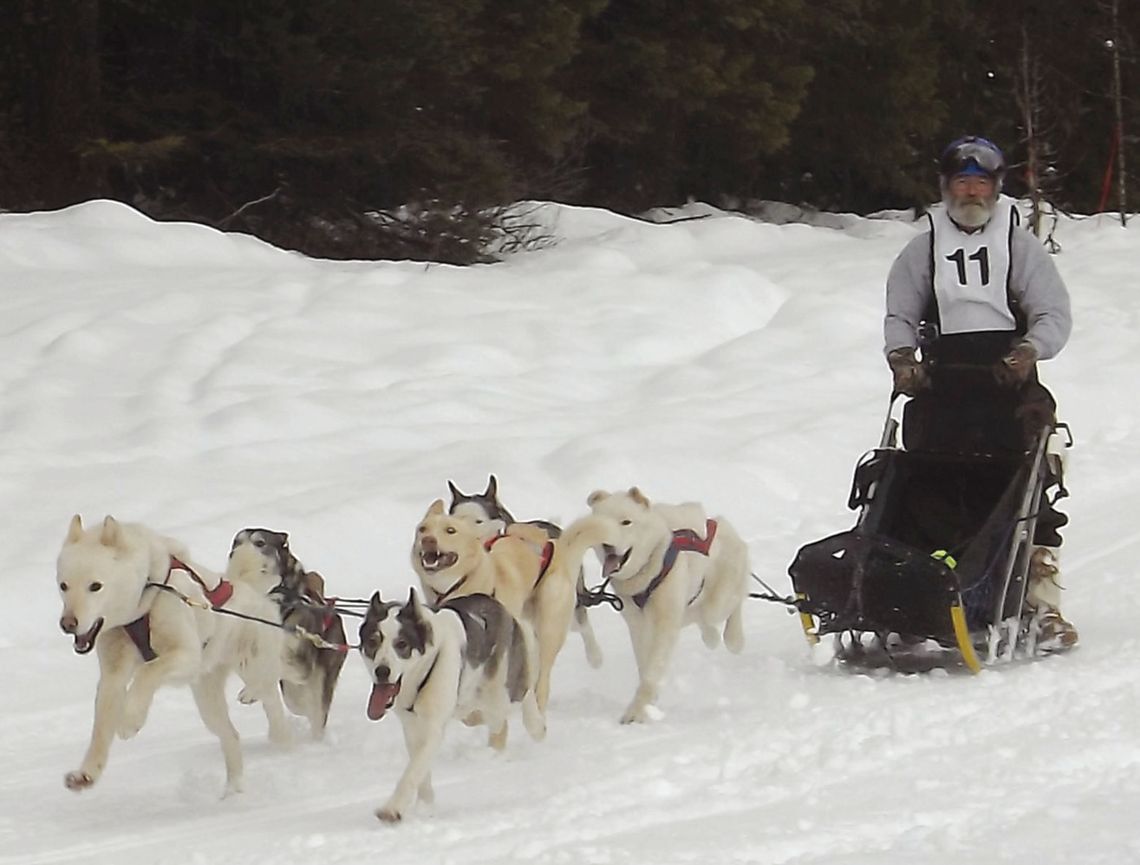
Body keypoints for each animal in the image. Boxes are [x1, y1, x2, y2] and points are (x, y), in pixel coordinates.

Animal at [55, 515, 291, 797]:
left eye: (95, 586)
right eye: (63, 586)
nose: (67, 624)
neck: (143, 602)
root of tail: (249, 590)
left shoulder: (186, 654)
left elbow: (147, 672)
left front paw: (130, 720)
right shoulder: (113, 676)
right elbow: (101, 729)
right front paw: (86, 774)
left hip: (253, 663)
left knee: (271, 690)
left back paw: (273, 724)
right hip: (207, 700)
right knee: (231, 736)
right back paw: (233, 790)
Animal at [223, 531, 344, 743]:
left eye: (260, 542)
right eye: (236, 542)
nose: (234, 553)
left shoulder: (300, 663)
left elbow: (269, 670)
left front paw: (250, 691)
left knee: (315, 711)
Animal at [360, 588, 547, 825]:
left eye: (401, 644)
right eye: (373, 642)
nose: (382, 671)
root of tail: (499, 607)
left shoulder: (433, 728)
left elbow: (413, 771)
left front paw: (393, 808)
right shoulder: (412, 727)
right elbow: (420, 769)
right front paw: (426, 805)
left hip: (499, 697)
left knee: (520, 695)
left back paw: (536, 726)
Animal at [410, 496, 606, 715]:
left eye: (450, 530)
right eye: (423, 529)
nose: (428, 540)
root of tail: (555, 544)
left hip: (549, 626)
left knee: (545, 671)